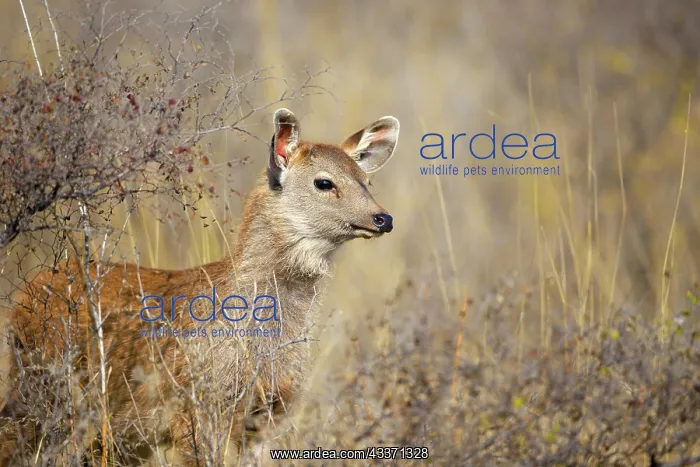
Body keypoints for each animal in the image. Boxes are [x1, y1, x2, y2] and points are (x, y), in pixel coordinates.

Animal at [0, 108, 400, 465]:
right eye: (324, 182)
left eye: (365, 181)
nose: (383, 218)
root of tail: (24, 296)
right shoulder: (195, 405)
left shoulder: (271, 410)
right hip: (44, 394)